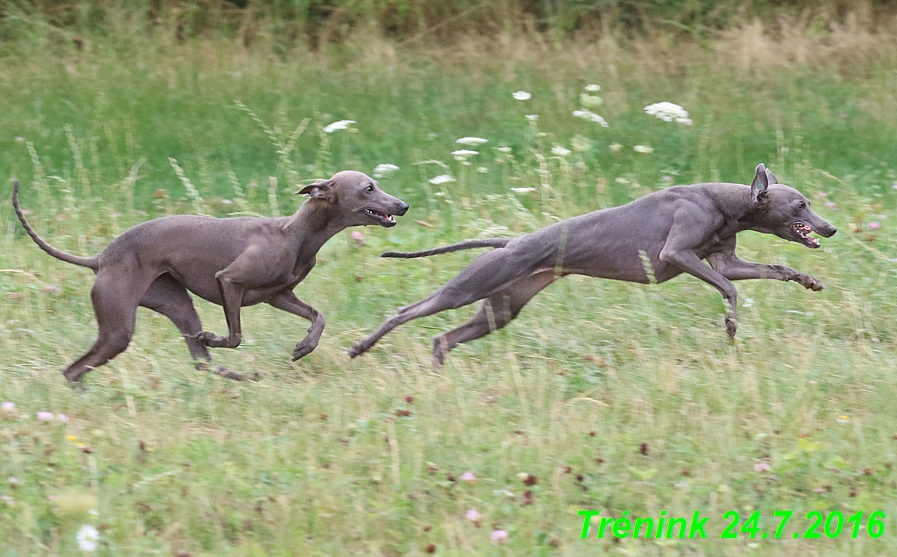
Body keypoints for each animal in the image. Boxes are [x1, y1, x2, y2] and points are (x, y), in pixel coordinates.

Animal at [14, 170, 408, 382]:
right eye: (368, 188)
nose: (403, 205)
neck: (294, 233)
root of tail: (101, 258)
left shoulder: (279, 295)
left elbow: (318, 315)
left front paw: (305, 346)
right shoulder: (229, 281)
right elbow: (234, 337)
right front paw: (218, 337)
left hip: (176, 303)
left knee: (200, 361)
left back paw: (242, 378)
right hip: (118, 327)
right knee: (74, 369)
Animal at [348, 163, 832, 362]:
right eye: (800, 205)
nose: (830, 228)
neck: (725, 202)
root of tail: (509, 243)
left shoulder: (724, 259)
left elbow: (772, 270)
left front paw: (807, 280)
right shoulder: (675, 254)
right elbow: (729, 288)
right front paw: (730, 324)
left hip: (500, 308)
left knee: (442, 339)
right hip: (466, 289)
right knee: (405, 312)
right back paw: (360, 347)